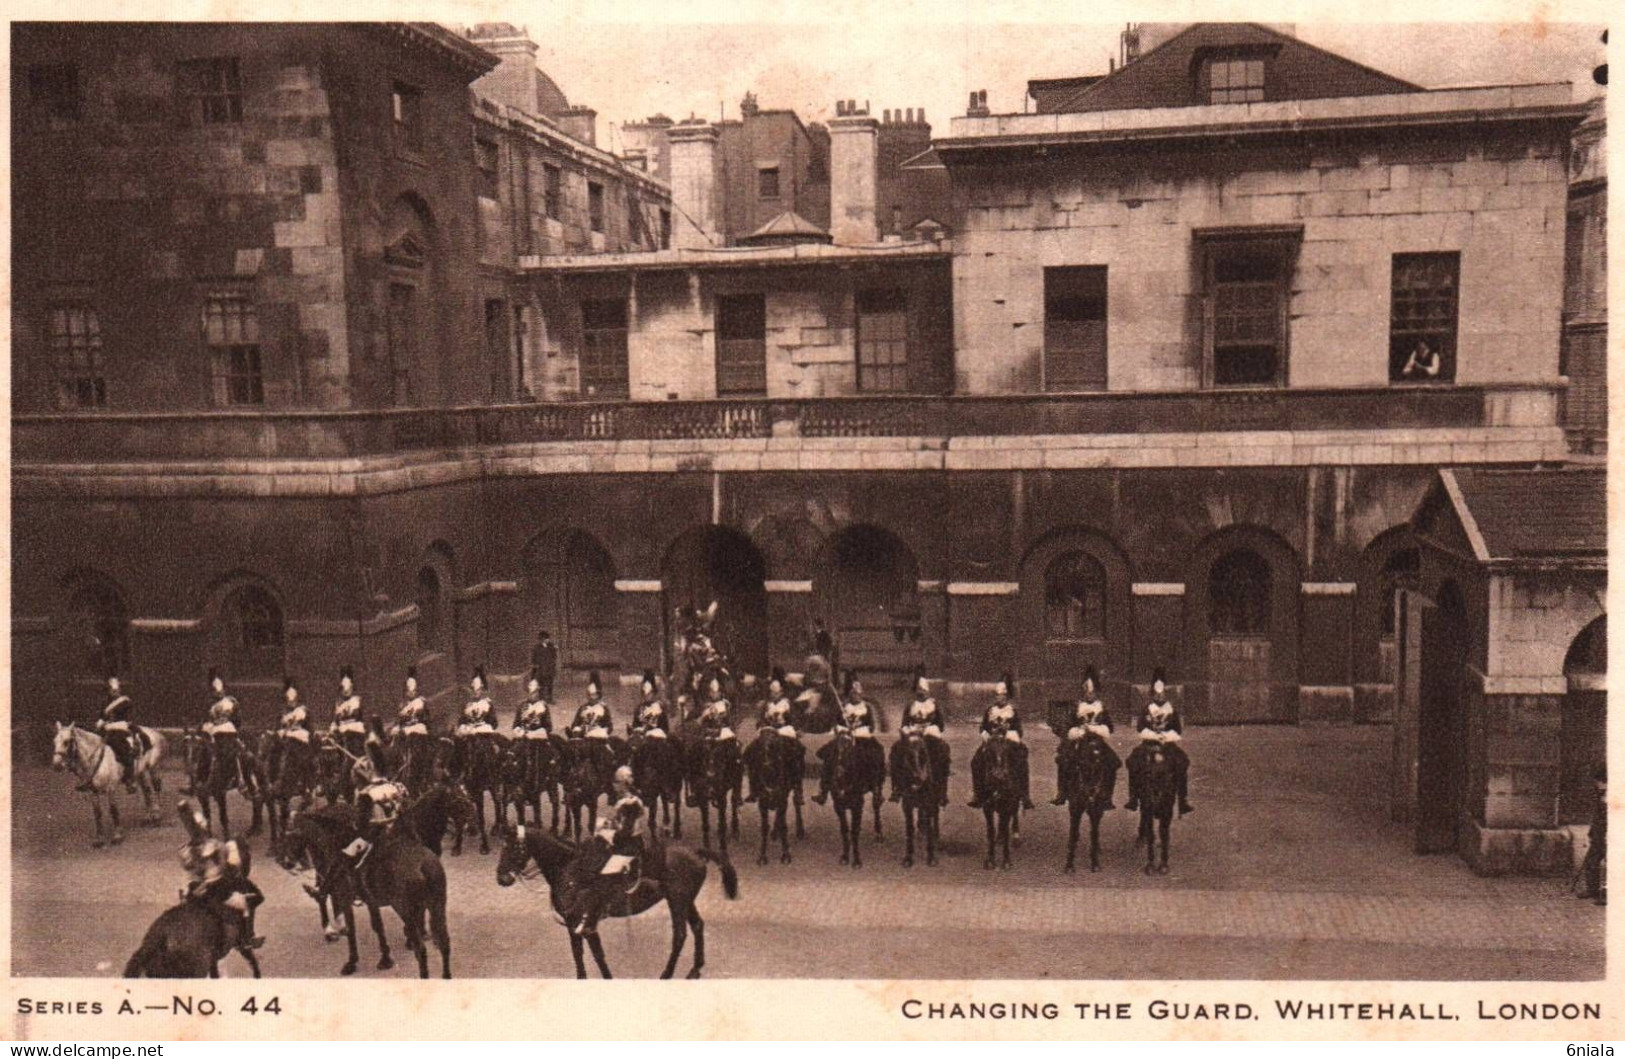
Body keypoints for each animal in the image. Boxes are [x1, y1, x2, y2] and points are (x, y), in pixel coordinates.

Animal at [273, 812, 451, 974]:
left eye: (287, 835)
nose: (284, 863)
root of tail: (423, 865)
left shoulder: (345, 898)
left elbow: (352, 930)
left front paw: (351, 962)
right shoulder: (371, 901)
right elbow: (378, 926)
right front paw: (385, 958)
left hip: (406, 910)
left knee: (421, 949)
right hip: (436, 906)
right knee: (444, 943)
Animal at [490, 821, 741, 981]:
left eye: (512, 847)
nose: (502, 878)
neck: (569, 869)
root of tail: (696, 852)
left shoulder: (584, 924)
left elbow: (597, 955)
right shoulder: (573, 926)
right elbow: (578, 954)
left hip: (677, 901)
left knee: (679, 934)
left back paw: (667, 974)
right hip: (686, 901)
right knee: (698, 926)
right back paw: (695, 969)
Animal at [897, 727, 949, 870]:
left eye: (923, 753)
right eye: (908, 754)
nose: (919, 779)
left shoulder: (929, 803)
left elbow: (930, 826)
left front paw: (931, 857)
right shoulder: (907, 806)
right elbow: (909, 829)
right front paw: (908, 858)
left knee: (935, 817)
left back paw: (936, 837)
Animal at [975, 730, 1014, 870]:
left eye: (1007, 750)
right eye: (988, 752)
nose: (999, 776)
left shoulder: (1007, 806)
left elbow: (1006, 830)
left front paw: (1006, 861)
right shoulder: (987, 808)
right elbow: (991, 831)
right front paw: (991, 860)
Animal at [1059, 730, 1124, 870]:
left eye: (1100, 747)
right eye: (1085, 749)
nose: (1097, 765)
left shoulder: (1096, 810)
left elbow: (1094, 833)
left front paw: (1095, 863)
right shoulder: (1075, 808)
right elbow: (1072, 833)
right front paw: (1069, 864)